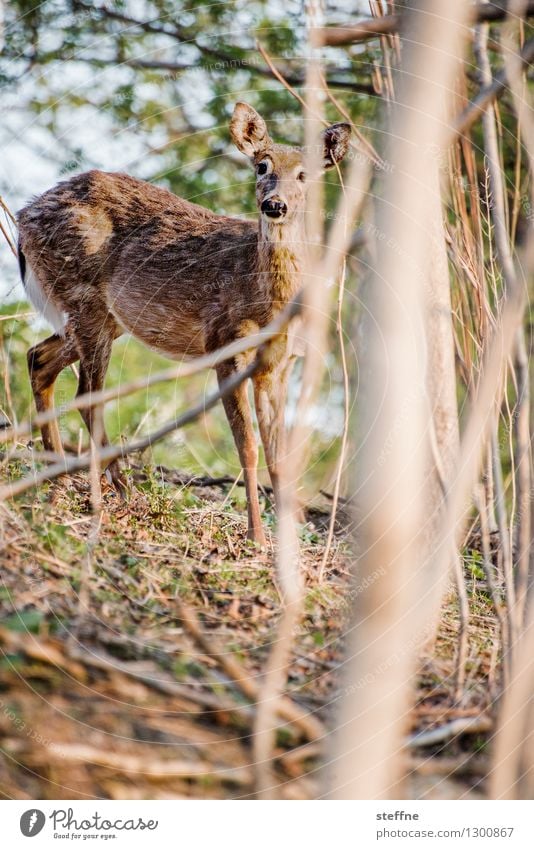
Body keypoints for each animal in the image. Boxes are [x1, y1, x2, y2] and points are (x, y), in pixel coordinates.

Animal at [16, 102, 354, 548]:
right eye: (261, 166)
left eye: (304, 174)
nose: (275, 205)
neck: (269, 299)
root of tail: (23, 216)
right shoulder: (225, 344)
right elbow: (247, 446)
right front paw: (256, 537)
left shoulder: (280, 363)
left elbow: (279, 456)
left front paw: (288, 541)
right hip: (83, 297)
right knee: (88, 394)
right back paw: (113, 494)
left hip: (103, 317)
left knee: (39, 358)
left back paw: (61, 483)